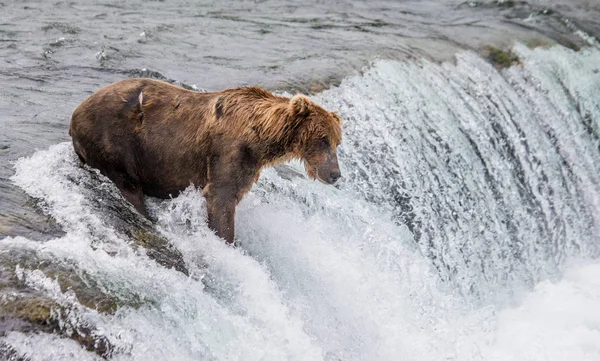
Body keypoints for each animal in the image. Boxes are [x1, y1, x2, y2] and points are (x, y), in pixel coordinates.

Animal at [69, 77, 342, 243]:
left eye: (337, 141)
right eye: (323, 139)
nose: (335, 174)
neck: (261, 138)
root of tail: (75, 114)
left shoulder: (248, 165)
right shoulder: (228, 152)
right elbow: (220, 198)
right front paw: (227, 241)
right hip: (115, 143)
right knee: (128, 185)